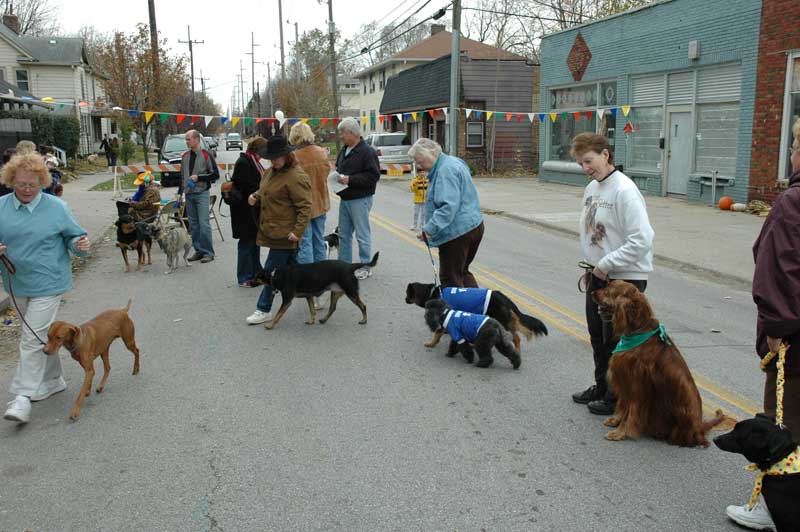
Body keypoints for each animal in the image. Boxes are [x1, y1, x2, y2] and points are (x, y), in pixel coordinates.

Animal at [410, 282, 548, 354]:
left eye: (408, 294)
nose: (406, 299)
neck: (434, 293)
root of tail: (505, 298)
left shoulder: (444, 316)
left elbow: (436, 334)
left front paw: (431, 343)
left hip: (502, 321)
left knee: (516, 338)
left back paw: (517, 351)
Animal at [592, 280, 728, 446]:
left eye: (608, 290)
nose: (591, 292)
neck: (638, 330)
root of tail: (699, 426)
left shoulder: (638, 387)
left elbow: (630, 412)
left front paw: (620, 433)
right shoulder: (625, 380)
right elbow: (622, 405)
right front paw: (615, 420)